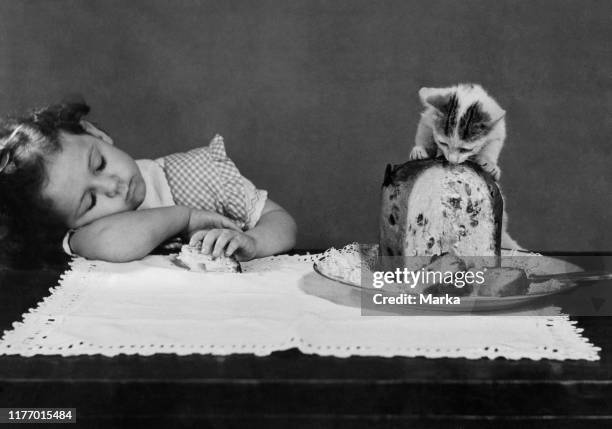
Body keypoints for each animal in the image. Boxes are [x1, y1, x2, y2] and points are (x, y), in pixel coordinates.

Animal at [412, 83, 520, 249]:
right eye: (443, 143)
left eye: (465, 149)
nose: (452, 160)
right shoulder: (428, 117)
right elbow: (424, 130)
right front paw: (420, 149)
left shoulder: (497, 131)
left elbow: (492, 145)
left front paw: (490, 163)